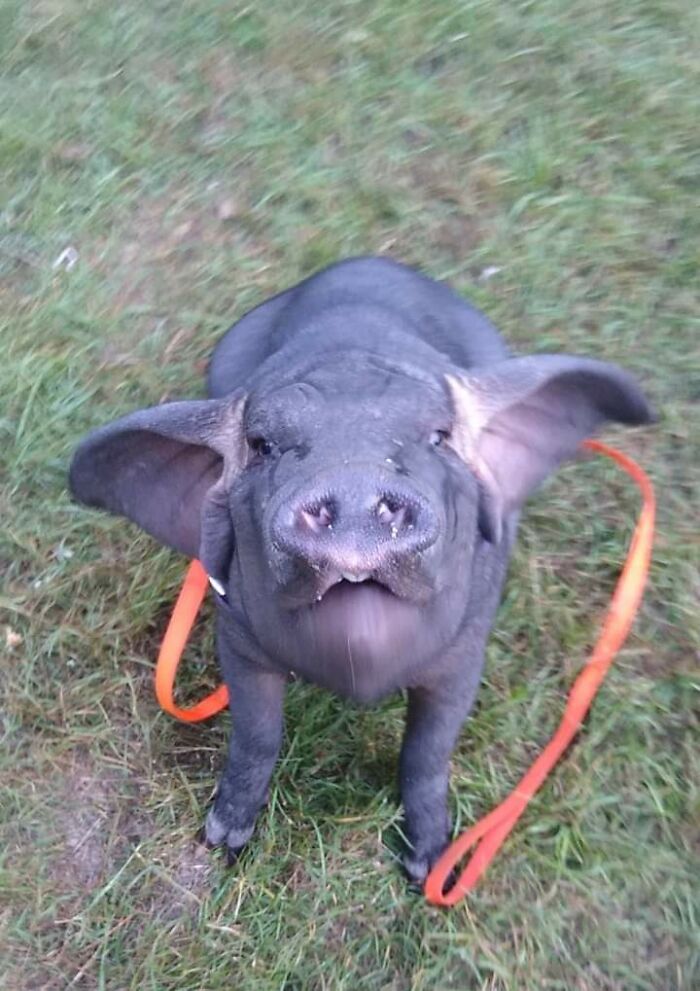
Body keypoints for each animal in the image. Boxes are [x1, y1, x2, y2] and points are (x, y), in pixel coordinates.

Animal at [69, 257, 654, 883]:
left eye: (439, 437)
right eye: (263, 444)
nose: (352, 483)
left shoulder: (465, 650)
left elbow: (428, 749)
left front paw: (427, 868)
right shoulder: (238, 638)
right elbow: (255, 733)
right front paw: (222, 840)